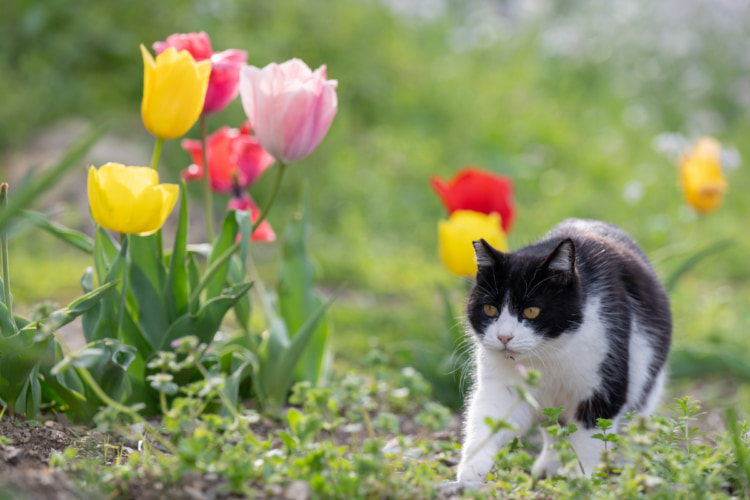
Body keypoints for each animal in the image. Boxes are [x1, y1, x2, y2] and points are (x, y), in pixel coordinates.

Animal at [458, 219, 676, 484]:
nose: (504, 337)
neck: (550, 353)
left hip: (646, 378)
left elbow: (593, 434)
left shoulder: (604, 380)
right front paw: (472, 467)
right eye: (490, 309)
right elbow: (490, 418)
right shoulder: (503, 385)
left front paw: (582, 478)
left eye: (531, 311)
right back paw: (549, 466)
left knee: (632, 420)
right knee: (555, 427)